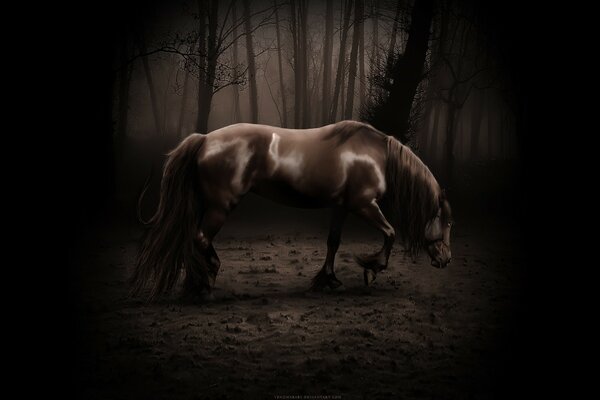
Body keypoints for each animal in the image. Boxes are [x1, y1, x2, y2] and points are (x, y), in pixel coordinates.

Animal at [130, 121, 450, 300]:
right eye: (447, 223)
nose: (445, 260)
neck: (375, 154)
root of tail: (205, 139)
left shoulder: (342, 206)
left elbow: (333, 242)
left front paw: (328, 280)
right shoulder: (364, 205)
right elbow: (390, 233)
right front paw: (372, 269)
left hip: (206, 205)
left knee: (192, 239)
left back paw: (196, 283)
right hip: (220, 206)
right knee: (200, 238)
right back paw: (206, 282)